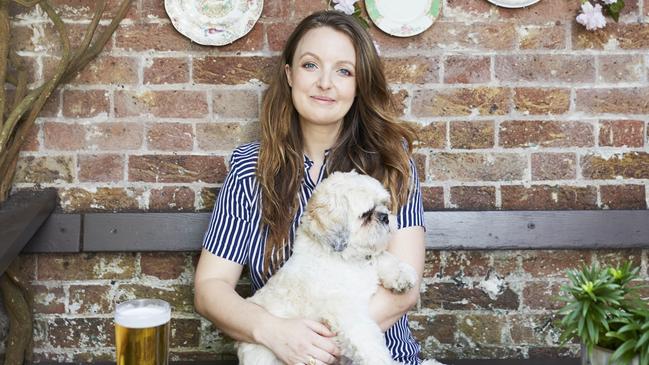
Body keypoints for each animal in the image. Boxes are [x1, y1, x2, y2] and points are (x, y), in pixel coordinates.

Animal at [235, 171, 422, 364]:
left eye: (384, 205)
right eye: (366, 214)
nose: (385, 217)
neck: (345, 261)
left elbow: (382, 257)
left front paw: (401, 275)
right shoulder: (345, 311)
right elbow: (368, 341)